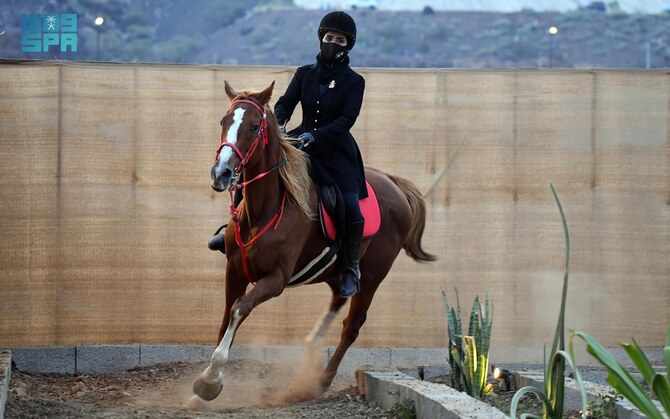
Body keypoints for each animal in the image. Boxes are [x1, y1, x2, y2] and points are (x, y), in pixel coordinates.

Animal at [192, 82, 438, 404]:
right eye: (224, 121)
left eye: (254, 126)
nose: (220, 174)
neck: (265, 209)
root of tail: (393, 182)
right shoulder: (234, 270)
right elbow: (225, 320)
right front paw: (201, 388)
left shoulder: (275, 279)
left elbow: (238, 309)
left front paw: (209, 381)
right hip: (335, 270)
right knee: (338, 298)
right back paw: (311, 346)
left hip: (373, 276)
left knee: (352, 326)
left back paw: (321, 381)